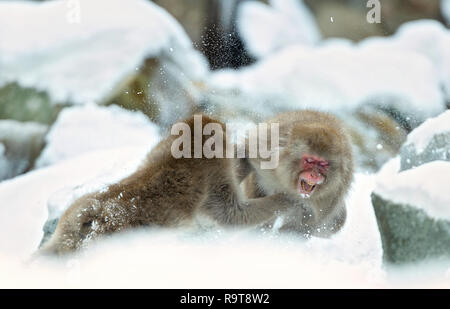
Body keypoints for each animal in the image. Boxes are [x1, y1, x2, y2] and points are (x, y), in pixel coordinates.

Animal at [41, 114, 296, 254]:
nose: (232, 144)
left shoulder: (156, 150)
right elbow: (232, 215)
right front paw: (285, 199)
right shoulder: (213, 172)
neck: (180, 151)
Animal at [243, 109, 356, 237]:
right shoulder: (265, 149)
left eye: (323, 164)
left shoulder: (332, 194)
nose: (314, 175)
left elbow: (304, 226)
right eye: (310, 161)